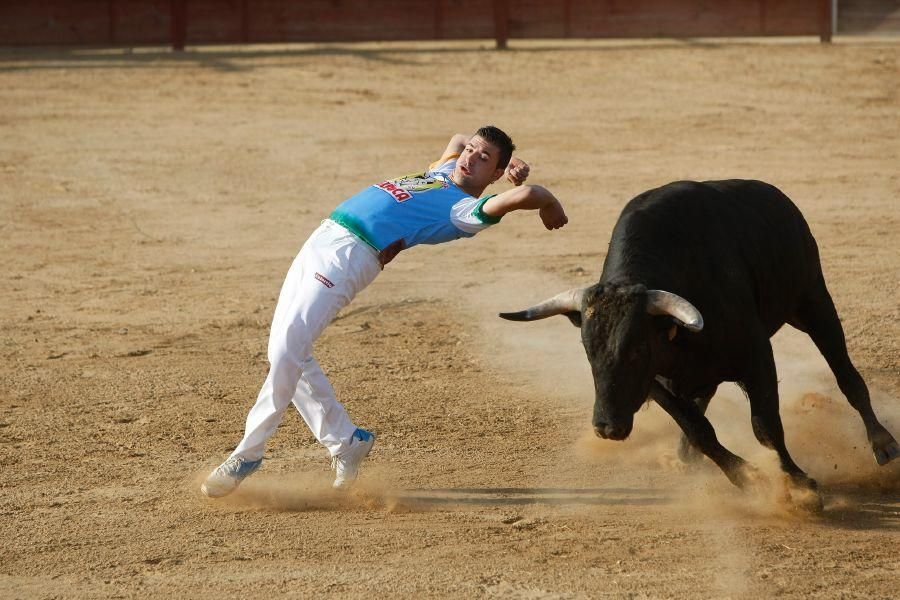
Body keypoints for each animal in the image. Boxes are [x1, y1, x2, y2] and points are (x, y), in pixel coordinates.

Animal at [502, 180, 896, 500]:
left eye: (636, 351)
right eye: (588, 352)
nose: (607, 427)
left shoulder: (756, 356)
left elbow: (766, 425)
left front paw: (799, 485)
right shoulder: (657, 381)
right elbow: (697, 427)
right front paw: (748, 478)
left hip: (813, 300)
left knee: (847, 376)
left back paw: (883, 443)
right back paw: (683, 457)